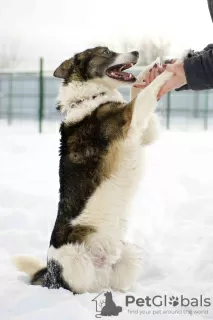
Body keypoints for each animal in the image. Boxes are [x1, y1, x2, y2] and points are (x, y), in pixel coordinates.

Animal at [13, 46, 180, 294]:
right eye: (106, 51)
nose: (135, 51)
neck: (89, 96)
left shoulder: (142, 132)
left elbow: (138, 90)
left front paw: (151, 70)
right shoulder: (129, 120)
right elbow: (145, 94)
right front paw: (170, 69)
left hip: (129, 257)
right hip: (75, 261)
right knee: (76, 288)